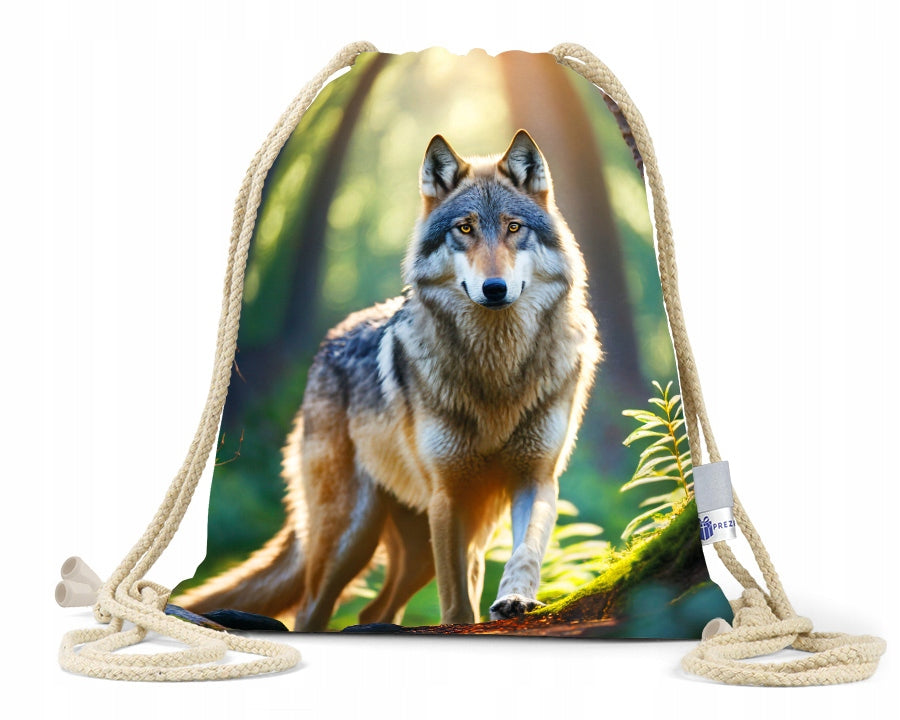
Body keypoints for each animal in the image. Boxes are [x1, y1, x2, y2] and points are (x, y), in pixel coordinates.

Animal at [176, 129, 601, 630]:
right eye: (465, 229)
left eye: (514, 228)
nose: (494, 289)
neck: (495, 369)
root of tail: (326, 346)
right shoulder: (447, 497)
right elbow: (456, 603)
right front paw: (463, 621)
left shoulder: (535, 478)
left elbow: (528, 550)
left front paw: (516, 599)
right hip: (351, 538)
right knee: (311, 610)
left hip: (423, 546)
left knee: (374, 611)